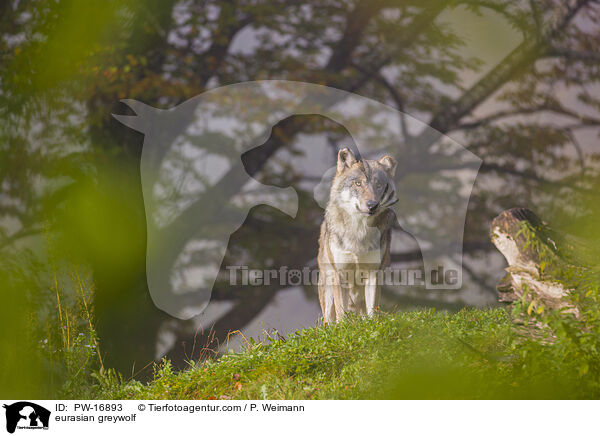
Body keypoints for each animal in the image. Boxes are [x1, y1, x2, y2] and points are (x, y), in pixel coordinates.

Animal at [318, 148, 398, 322]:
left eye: (378, 185)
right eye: (358, 183)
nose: (372, 205)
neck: (359, 232)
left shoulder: (373, 274)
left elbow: (372, 311)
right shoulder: (340, 274)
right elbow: (341, 314)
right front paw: (342, 327)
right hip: (328, 288)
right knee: (328, 320)